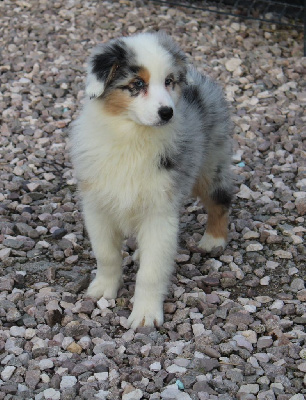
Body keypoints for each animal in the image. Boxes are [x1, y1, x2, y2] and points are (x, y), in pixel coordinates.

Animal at [70, 32, 233, 328]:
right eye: (137, 84)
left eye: (168, 81)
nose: (167, 112)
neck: (133, 137)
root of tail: (199, 77)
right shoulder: (97, 205)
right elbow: (107, 255)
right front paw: (103, 289)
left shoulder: (160, 210)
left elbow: (152, 271)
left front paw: (145, 315)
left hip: (211, 163)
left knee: (220, 200)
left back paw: (213, 240)